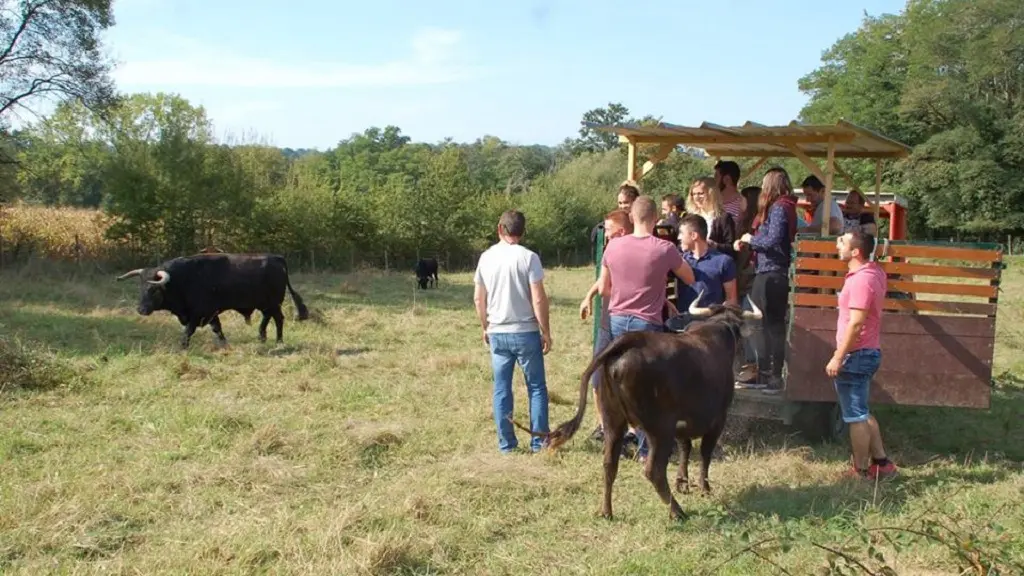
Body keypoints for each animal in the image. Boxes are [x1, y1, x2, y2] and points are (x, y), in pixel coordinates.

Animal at [115, 251, 307, 344]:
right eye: (140, 287)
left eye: (154, 289)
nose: (141, 309)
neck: (182, 279)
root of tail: (277, 257)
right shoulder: (211, 313)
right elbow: (218, 329)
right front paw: (224, 344)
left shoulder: (198, 313)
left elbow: (188, 332)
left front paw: (182, 347)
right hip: (265, 304)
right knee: (267, 318)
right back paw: (261, 337)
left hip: (274, 303)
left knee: (279, 319)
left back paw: (279, 341)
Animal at [512, 291, 761, 520]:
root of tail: (627, 342)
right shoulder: (717, 419)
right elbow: (704, 453)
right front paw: (705, 488)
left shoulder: (682, 423)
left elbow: (685, 448)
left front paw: (682, 482)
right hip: (659, 429)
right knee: (654, 471)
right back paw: (677, 511)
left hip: (613, 421)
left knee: (609, 464)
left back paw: (606, 511)